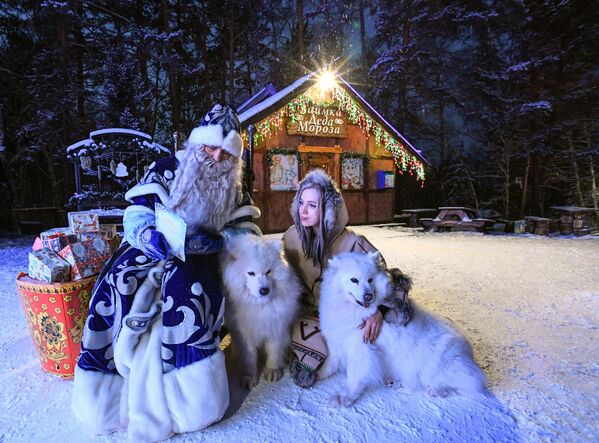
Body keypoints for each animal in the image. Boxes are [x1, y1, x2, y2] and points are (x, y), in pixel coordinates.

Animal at [221, 234, 302, 390]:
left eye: (268, 271)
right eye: (251, 273)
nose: (264, 290)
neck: (261, 305)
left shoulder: (277, 328)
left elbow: (274, 351)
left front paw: (272, 371)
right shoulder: (244, 335)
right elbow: (249, 357)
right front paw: (249, 377)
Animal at [318, 251, 488, 408]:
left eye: (370, 280)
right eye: (354, 280)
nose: (368, 296)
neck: (352, 311)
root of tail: (469, 354)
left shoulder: (362, 350)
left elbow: (354, 377)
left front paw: (342, 397)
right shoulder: (337, 344)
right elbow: (330, 363)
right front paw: (318, 375)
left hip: (434, 367)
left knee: (465, 386)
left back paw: (434, 390)